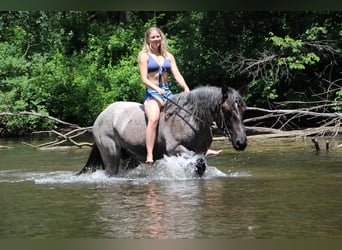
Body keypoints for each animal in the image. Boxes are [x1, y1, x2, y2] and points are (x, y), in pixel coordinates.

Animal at [77, 86, 247, 178]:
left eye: (243, 109)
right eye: (227, 110)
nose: (241, 142)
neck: (191, 118)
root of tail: (101, 115)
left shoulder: (200, 151)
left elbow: (200, 166)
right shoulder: (176, 149)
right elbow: (197, 163)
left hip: (128, 158)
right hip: (111, 154)